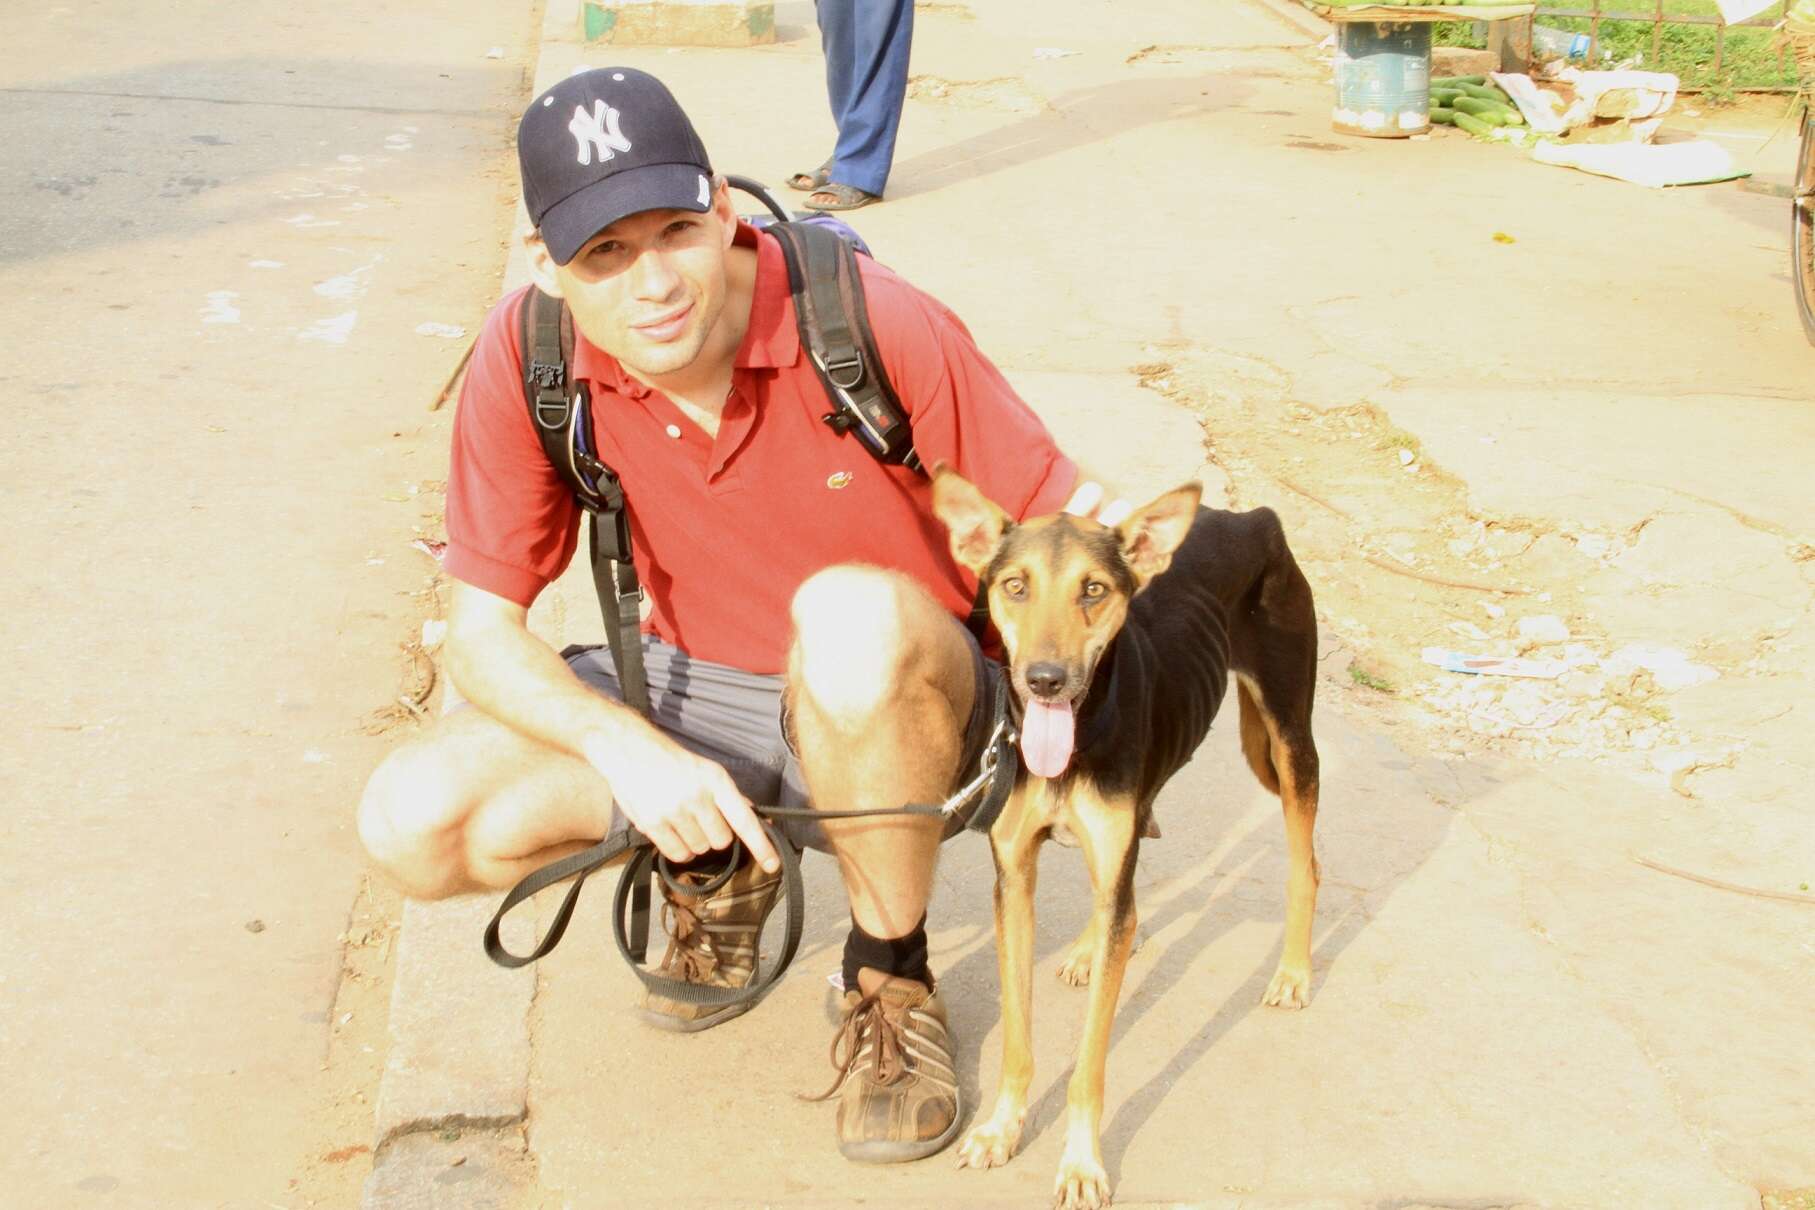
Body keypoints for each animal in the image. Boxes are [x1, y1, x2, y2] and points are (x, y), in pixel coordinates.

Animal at [929, 468, 1328, 1210]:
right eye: (1015, 585)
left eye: (1093, 589)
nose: (1045, 680)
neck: (1078, 735)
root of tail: (1250, 517)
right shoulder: (1014, 883)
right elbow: (1019, 1038)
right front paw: (1000, 1128)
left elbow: (1089, 1063)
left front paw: (1082, 1163)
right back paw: (1093, 948)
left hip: (1291, 737)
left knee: (1305, 864)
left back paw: (1292, 972)